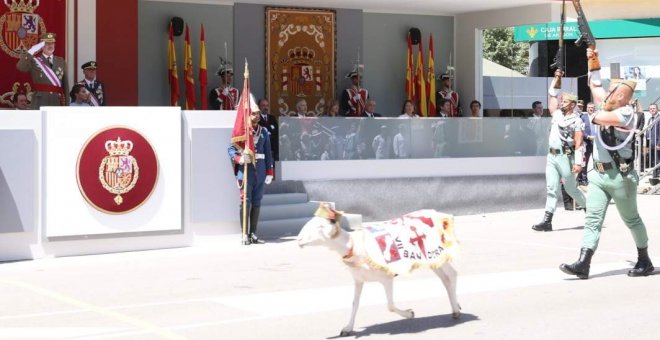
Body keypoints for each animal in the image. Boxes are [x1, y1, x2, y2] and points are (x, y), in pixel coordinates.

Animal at [296, 203, 462, 336]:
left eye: (319, 227)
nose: (298, 240)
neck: (354, 246)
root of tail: (440, 214)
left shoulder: (386, 278)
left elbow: (390, 306)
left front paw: (410, 314)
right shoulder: (358, 280)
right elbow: (354, 303)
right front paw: (347, 328)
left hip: (439, 254)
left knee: (452, 274)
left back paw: (456, 310)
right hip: (433, 260)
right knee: (445, 279)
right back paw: (456, 307)